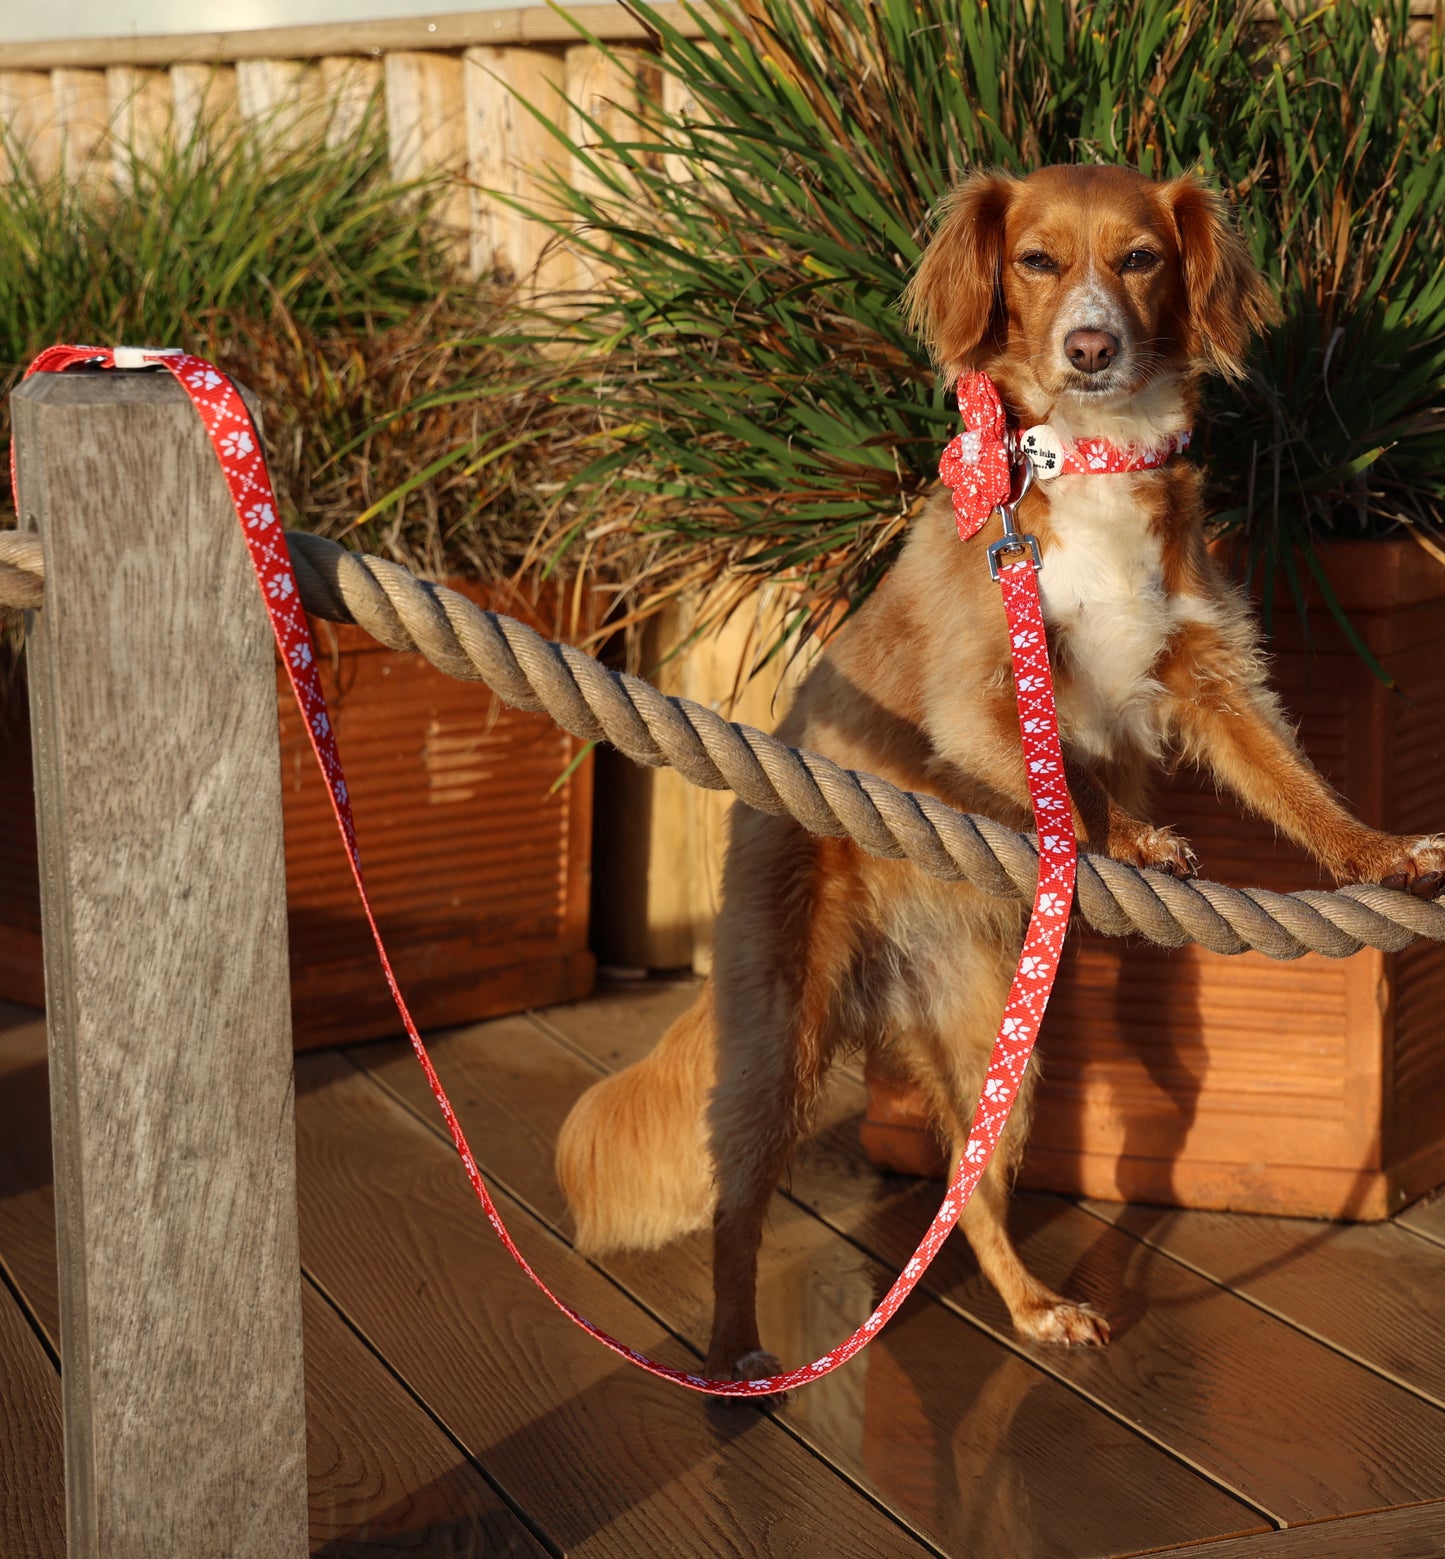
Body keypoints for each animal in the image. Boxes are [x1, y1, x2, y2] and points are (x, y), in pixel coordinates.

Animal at [558, 170, 1445, 1384]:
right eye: (1035, 259)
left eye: (1139, 258)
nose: (1087, 345)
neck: (1088, 455)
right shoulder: (972, 702)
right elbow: (1053, 782)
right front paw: (1114, 836)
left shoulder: (1210, 674)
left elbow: (1295, 787)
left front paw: (1378, 853)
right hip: (777, 1035)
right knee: (740, 1204)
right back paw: (737, 1352)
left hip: (997, 1050)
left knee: (966, 1192)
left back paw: (1033, 1307)